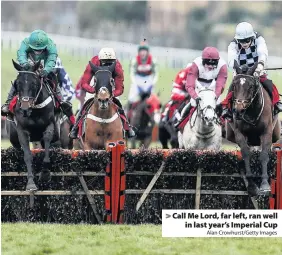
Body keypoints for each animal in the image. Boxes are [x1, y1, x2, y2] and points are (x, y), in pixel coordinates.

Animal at [8, 60, 60, 191]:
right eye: (18, 83)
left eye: (34, 83)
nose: (25, 108)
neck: (34, 110)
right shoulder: (22, 130)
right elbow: (27, 155)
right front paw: (31, 183)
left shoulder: (50, 126)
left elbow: (47, 144)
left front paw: (45, 174)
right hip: (14, 139)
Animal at [225, 60, 280, 196]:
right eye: (235, 85)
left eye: (250, 86)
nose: (238, 110)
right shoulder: (239, 133)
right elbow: (245, 154)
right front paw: (251, 185)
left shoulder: (266, 133)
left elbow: (264, 155)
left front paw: (265, 184)